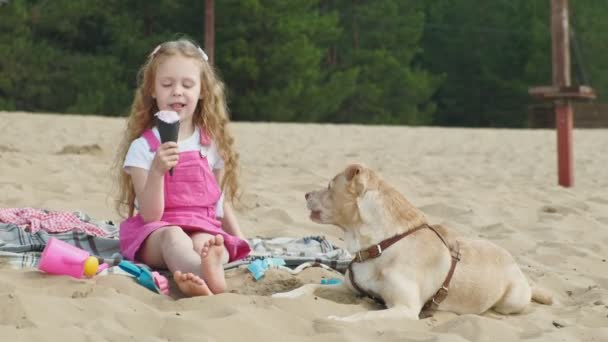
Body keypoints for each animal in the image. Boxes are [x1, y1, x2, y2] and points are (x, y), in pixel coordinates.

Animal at [274, 164, 552, 322]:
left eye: (330, 186)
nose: (306, 194)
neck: (381, 244)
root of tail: (515, 264)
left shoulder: (405, 308)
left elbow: (359, 315)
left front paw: (334, 319)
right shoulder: (347, 289)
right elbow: (309, 287)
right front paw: (283, 294)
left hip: (511, 300)